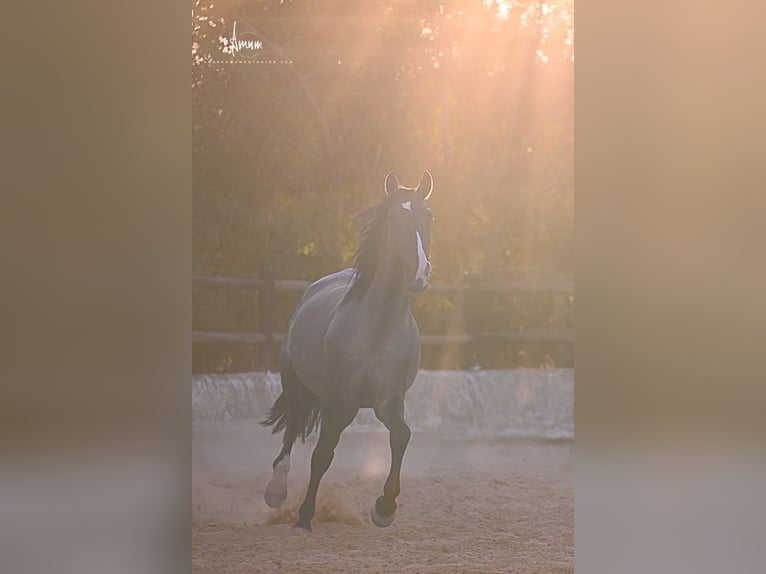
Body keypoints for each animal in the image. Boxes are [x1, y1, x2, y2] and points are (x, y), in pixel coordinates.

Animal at [260, 170, 435, 531]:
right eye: (394, 218)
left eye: (429, 216)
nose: (419, 274)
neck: (377, 328)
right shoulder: (338, 398)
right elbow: (322, 453)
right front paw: (304, 518)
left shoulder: (388, 400)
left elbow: (401, 436)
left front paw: (384, 508)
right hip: (298, 385)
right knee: (293, 426)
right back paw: (277, 492)